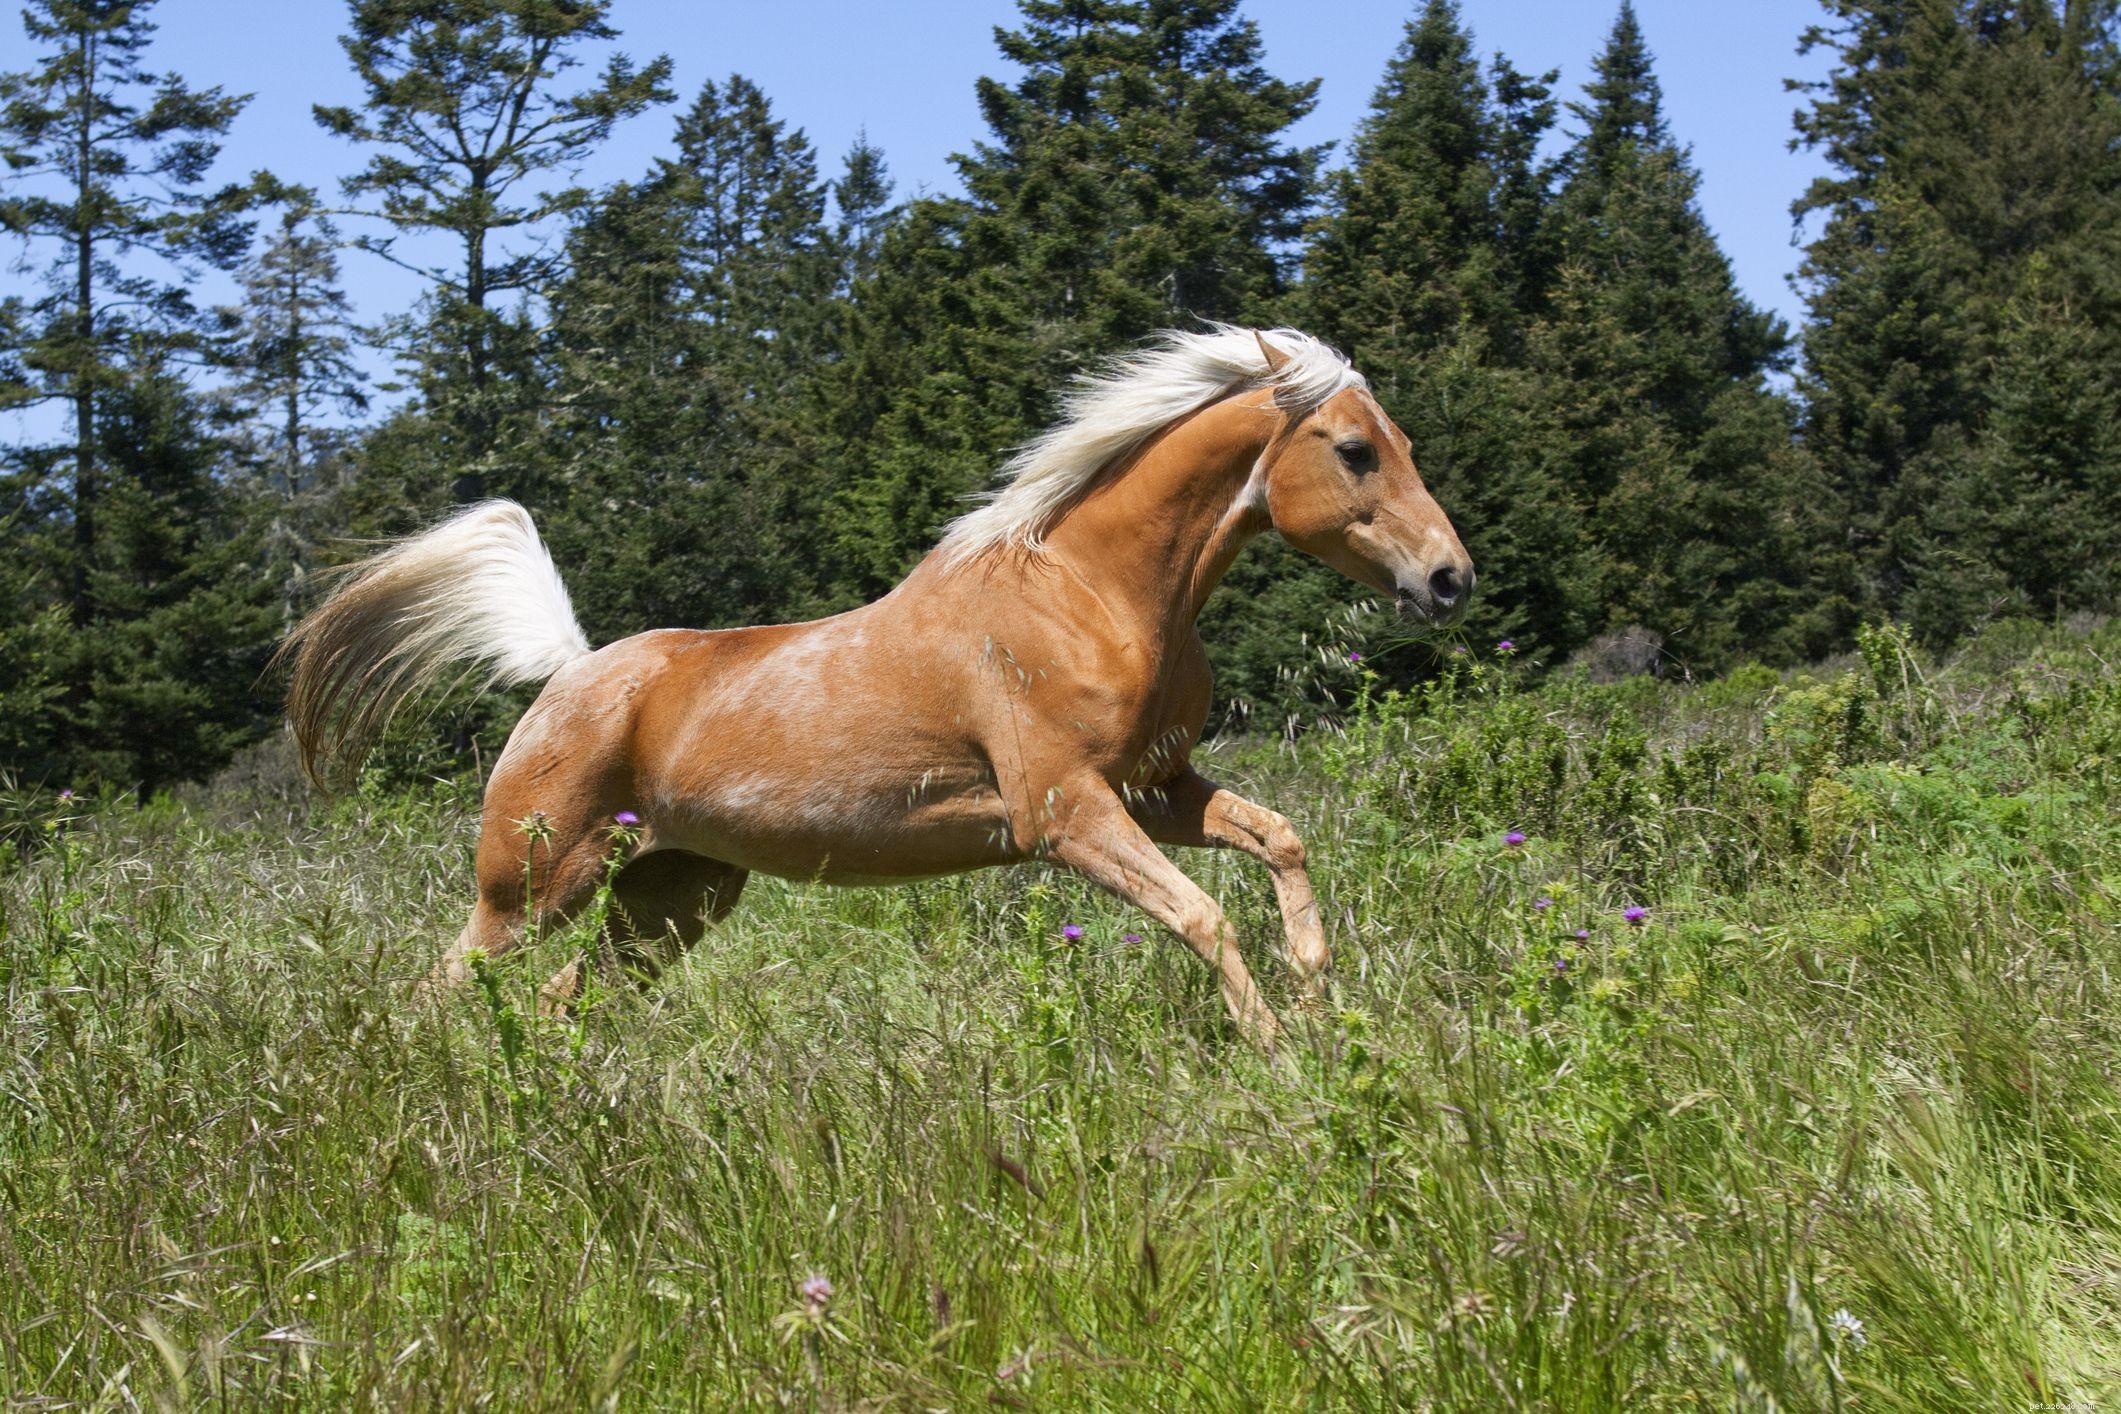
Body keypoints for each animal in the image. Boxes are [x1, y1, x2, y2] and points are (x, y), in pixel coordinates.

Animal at [280, 326, 1473, 1049]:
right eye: (1356, 450)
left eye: (1405, 441)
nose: (1449, 579)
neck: (1090, 594)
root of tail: (571, 670)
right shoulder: (1065, 815)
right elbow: (1204, 918)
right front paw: (1275, 1054)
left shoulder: (1155, 790)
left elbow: (1280, 843)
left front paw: (1318, 1005)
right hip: (529, 891)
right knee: (447, 992)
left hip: (670, 897)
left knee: (569, 1002)